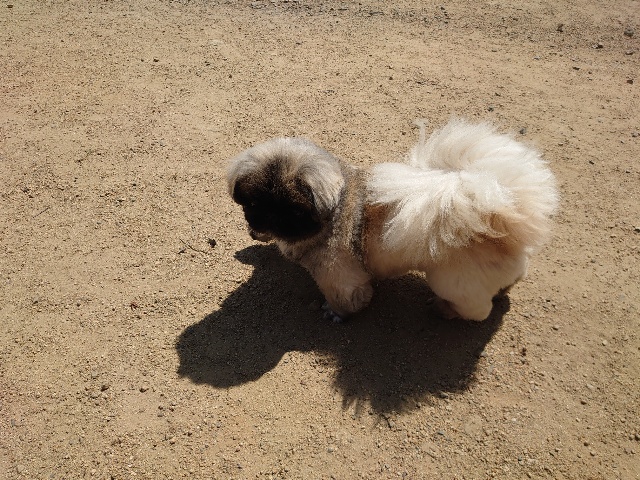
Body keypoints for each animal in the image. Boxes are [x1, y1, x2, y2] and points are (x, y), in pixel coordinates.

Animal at [227, 119, 558, 322]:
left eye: (295, 210)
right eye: (254, 202)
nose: (270, 218)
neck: (332, 213)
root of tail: (498, 218)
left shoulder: (341, 278)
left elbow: (346, 299)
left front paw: (336, 313)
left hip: (453, 282)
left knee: (477, 310)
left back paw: (445, 310)